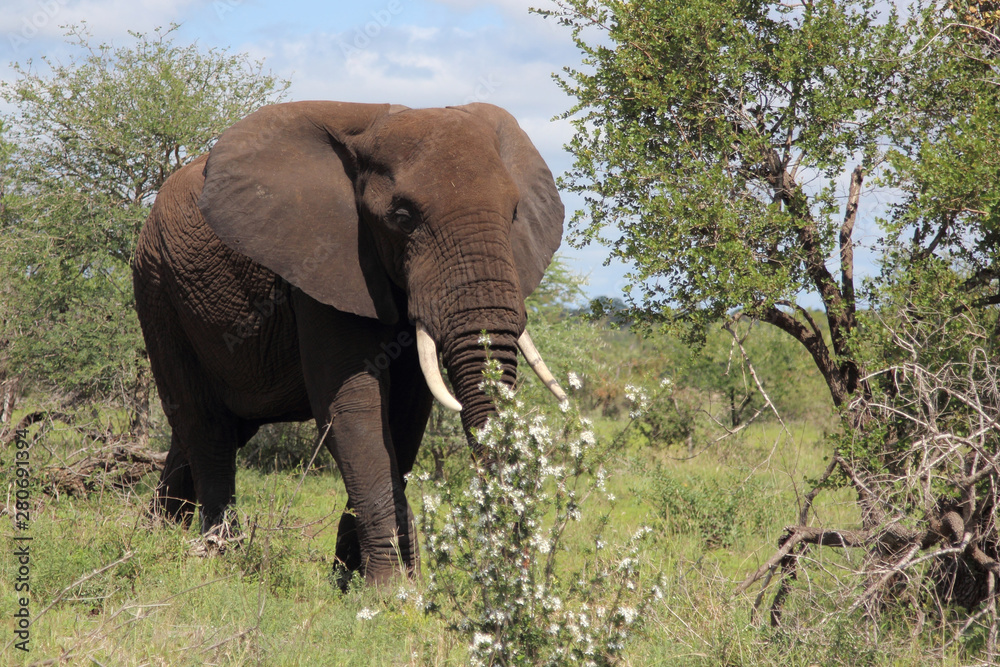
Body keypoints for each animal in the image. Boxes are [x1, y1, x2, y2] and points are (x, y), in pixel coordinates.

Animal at [131, 100, 567, 584]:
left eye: (514, 213)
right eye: (403, 218)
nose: (518, 573)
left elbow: (405, 415)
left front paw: (352, 580)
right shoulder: (323, 262)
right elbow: (354, 407)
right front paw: (388, 590)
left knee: (206, 430)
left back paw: (154, 535)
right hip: (157, 287)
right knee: (204, 424)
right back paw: (217, 554)